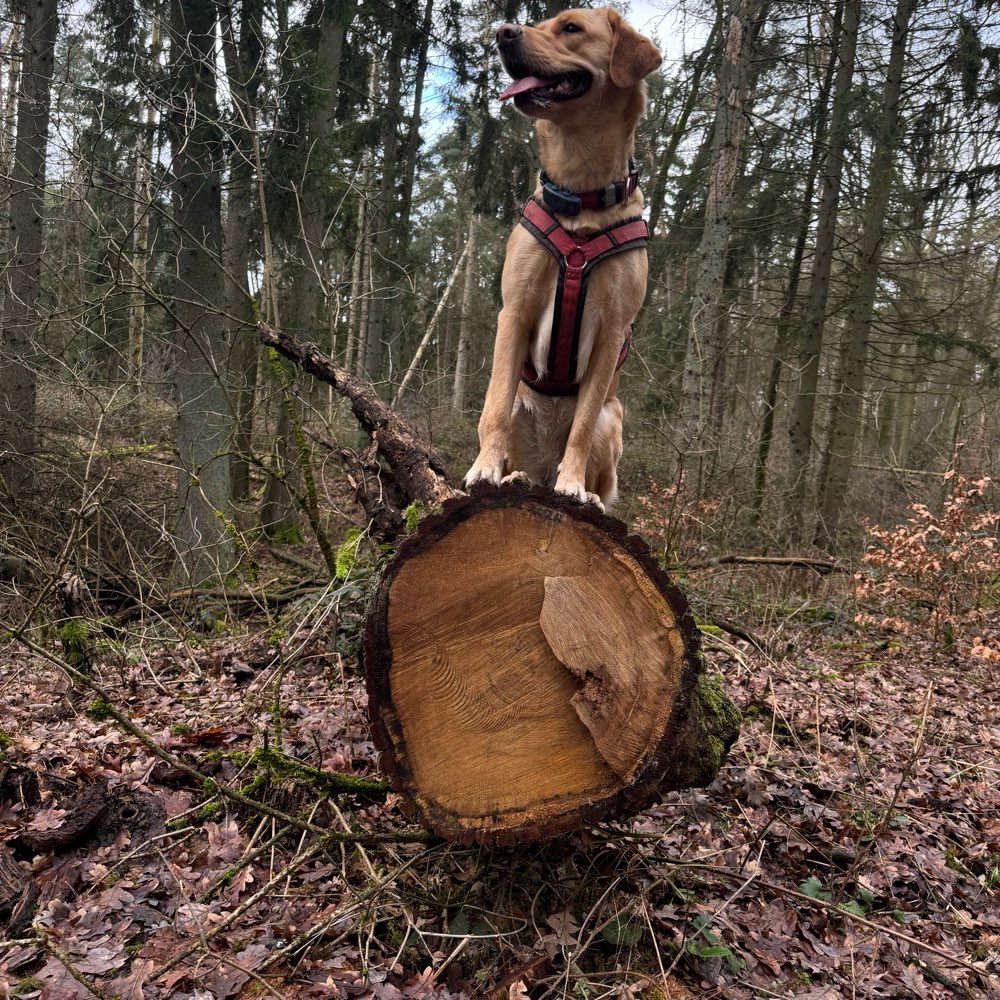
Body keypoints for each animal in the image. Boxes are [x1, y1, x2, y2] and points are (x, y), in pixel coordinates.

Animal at [466, 5, 664, 508]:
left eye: (571, 28)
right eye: (540, 23)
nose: (503, 32)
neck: (581, 196)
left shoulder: (613, 331)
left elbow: (581, 428)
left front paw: (572, 484)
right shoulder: (515, 310)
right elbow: (492, 409)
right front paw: (484, 468)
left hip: (614, 419)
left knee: (591, 459)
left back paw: (585, 493)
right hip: (524, 408)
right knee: (515, 441)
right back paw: (515, 476)